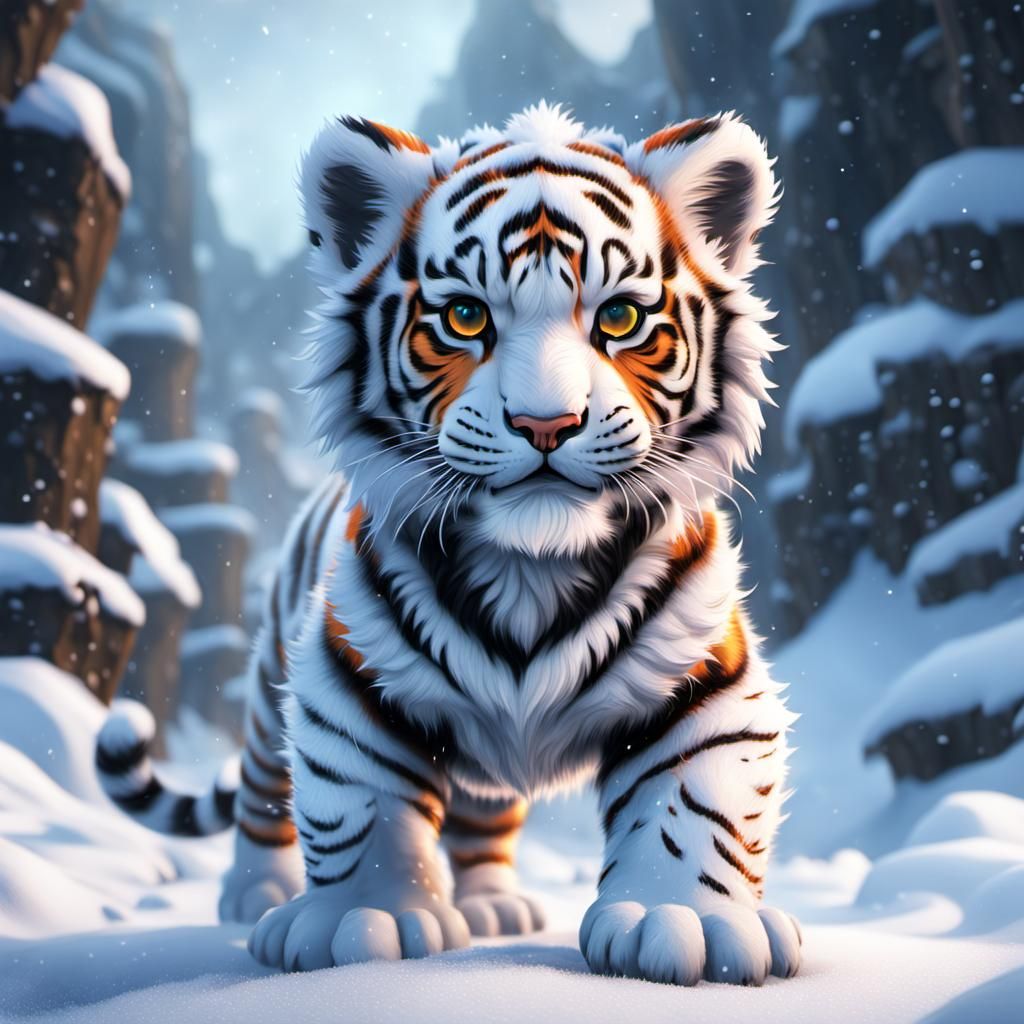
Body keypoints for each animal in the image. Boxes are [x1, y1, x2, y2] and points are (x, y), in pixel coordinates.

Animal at [96, 102, 799, 986]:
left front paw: (681, 922)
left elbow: (692, 802)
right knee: (263, 784)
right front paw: (363, 918)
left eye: (619, 319)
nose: (545, 423)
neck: (532, 567)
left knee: (484, 811)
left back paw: (494, 905)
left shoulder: (708, 678)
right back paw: (256, 892)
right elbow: (357, 796)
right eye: (466, 318)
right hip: (268, 678)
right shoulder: (348, 671)